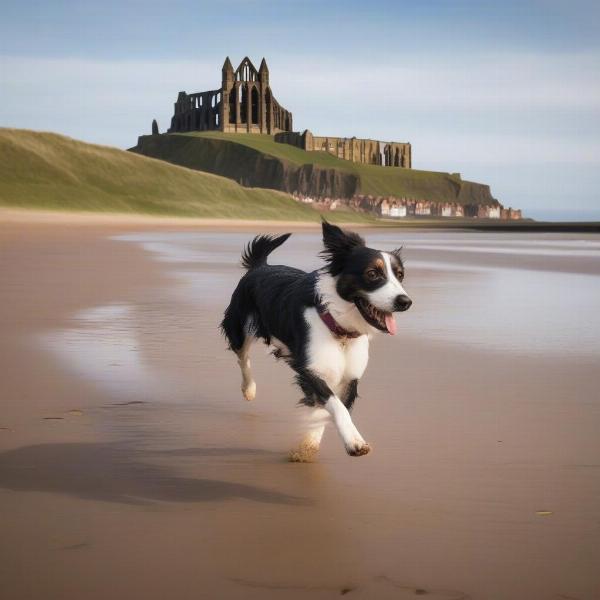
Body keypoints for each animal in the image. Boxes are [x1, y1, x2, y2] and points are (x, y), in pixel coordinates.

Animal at [220, 223, 412, 462]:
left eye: (400, 276)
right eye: (372, 273)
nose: (405, 302)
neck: (340, 329)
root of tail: (260, 266)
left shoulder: (349, 377)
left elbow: (324, 411)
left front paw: (308, 446)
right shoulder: (311, 368)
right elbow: (336, 406)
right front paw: (354, 442)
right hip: (239, 325)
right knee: (243, 356)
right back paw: (249, 389)